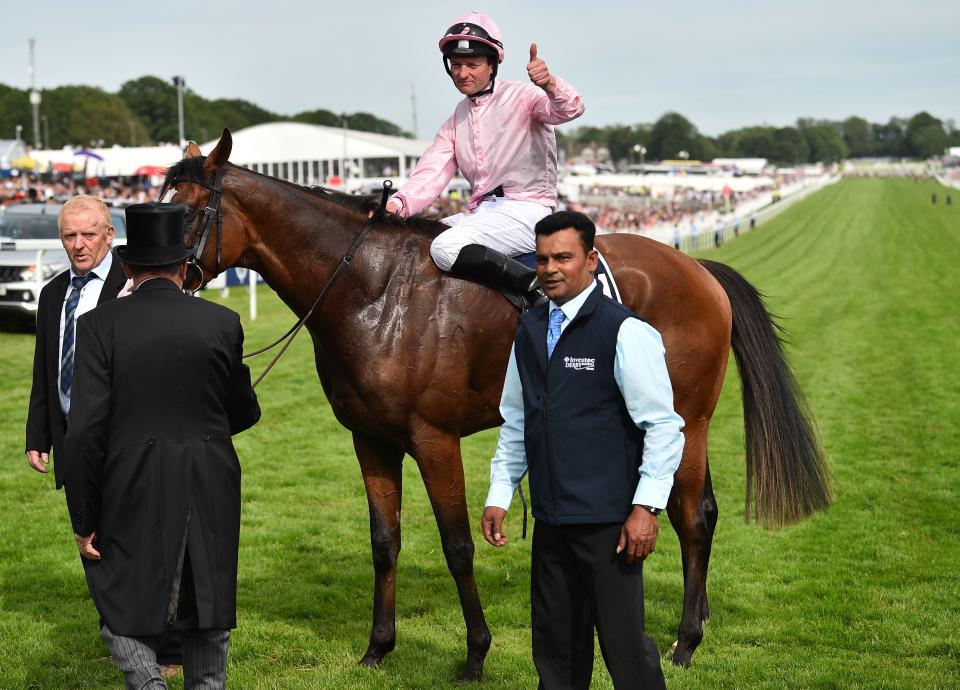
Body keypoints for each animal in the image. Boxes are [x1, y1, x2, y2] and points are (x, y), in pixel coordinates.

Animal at [161, 129, 828, 676]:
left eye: (186, 212)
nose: (152, 280)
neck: (371, 288)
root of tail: (697, 267)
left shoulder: (434, 438)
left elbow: (458, 544)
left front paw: (476, 653)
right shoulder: (370, 439)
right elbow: (384, 541)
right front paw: (378, 648)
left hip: (687, 418)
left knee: (692, 517)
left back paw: (686, 641)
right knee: (698, 511)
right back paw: (699, 620)